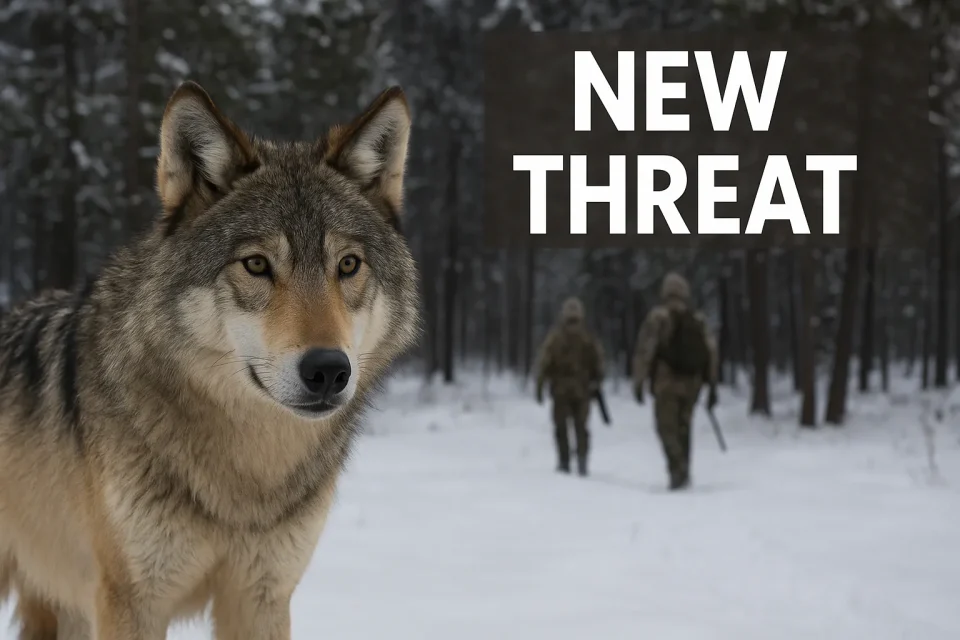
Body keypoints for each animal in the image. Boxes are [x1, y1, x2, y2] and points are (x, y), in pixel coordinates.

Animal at [0, 80, 420, 638]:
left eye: (348, 265)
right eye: (257, 265)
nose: (329, 370)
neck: (243, 479)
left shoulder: (262, 597)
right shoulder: (130, 601)